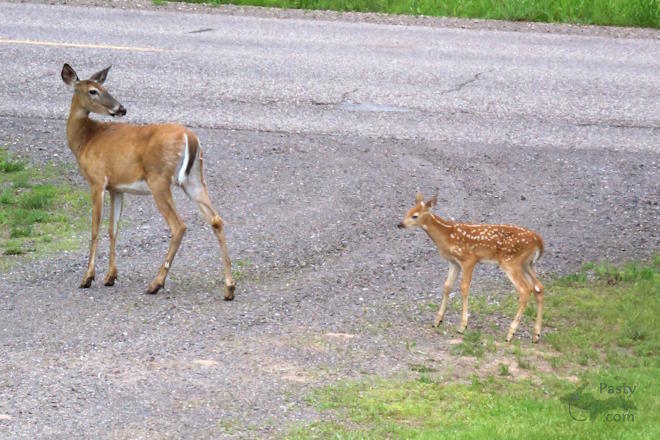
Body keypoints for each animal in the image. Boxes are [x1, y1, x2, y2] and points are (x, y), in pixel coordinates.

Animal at [60, 63, 235, 300]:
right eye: (93, 91)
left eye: (103, 88)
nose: (121, 108)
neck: (86, 140)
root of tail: (191, 138)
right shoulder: (117, 188)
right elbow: (113, 229)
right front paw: (110, 277)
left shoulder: (97, 181)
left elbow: (95, 229)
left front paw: (88, 277)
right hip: (194, 179)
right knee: (216, 219)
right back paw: (229, 287)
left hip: (159, 179)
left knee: (179, 225)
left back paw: (156, 283)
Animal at [398, 193, 548, 344]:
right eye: (407, 211)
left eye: (415, 216)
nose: (400, 224)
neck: (447, 235)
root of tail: (538, 240)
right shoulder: (453, 262)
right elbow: (447, 286)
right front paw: (437, 321)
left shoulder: (469, 259)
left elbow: (464, 288)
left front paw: (462, 326)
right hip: (527, 264)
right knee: (539, 288)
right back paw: (536, 335)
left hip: (511, 262)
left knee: (525, 290)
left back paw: (510, 334)